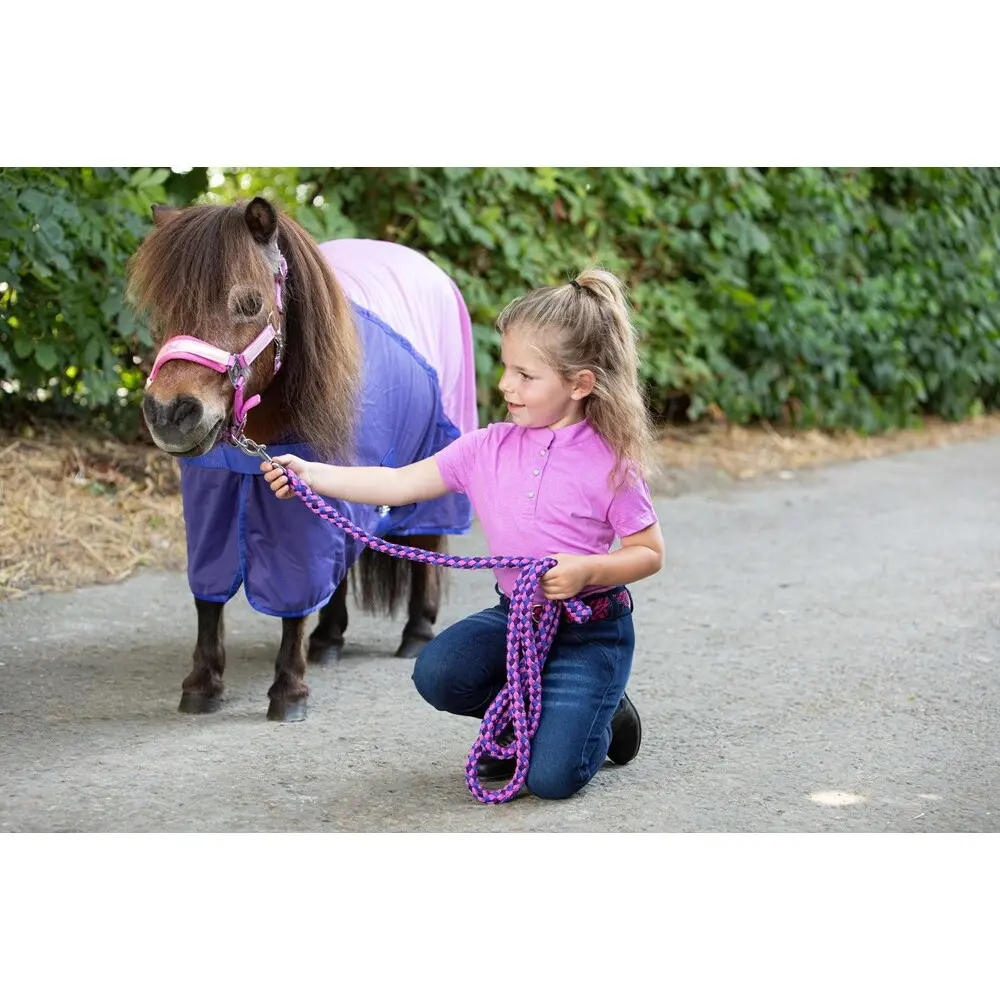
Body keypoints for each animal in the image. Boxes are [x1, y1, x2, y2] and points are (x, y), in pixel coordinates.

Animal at [127, 196, 476, 722]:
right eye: (163, 308)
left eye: (249, 303)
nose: (170, 413)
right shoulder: (215, 498)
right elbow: (208, 597)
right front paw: (202, 684)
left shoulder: (296, 510)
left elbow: (294, 595)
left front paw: (289, 689)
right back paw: (329, 639)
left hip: (433, 459)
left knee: (426, 543)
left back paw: (416, 631)